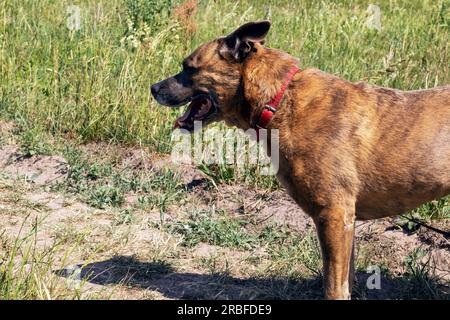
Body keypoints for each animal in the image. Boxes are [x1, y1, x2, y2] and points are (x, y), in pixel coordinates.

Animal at [152, 20, 450, 300]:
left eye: (188, 68)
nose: (153, 87)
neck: (279, 99)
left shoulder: (333, 214)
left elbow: (334, 283)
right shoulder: (345, 219)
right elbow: (346, 277)